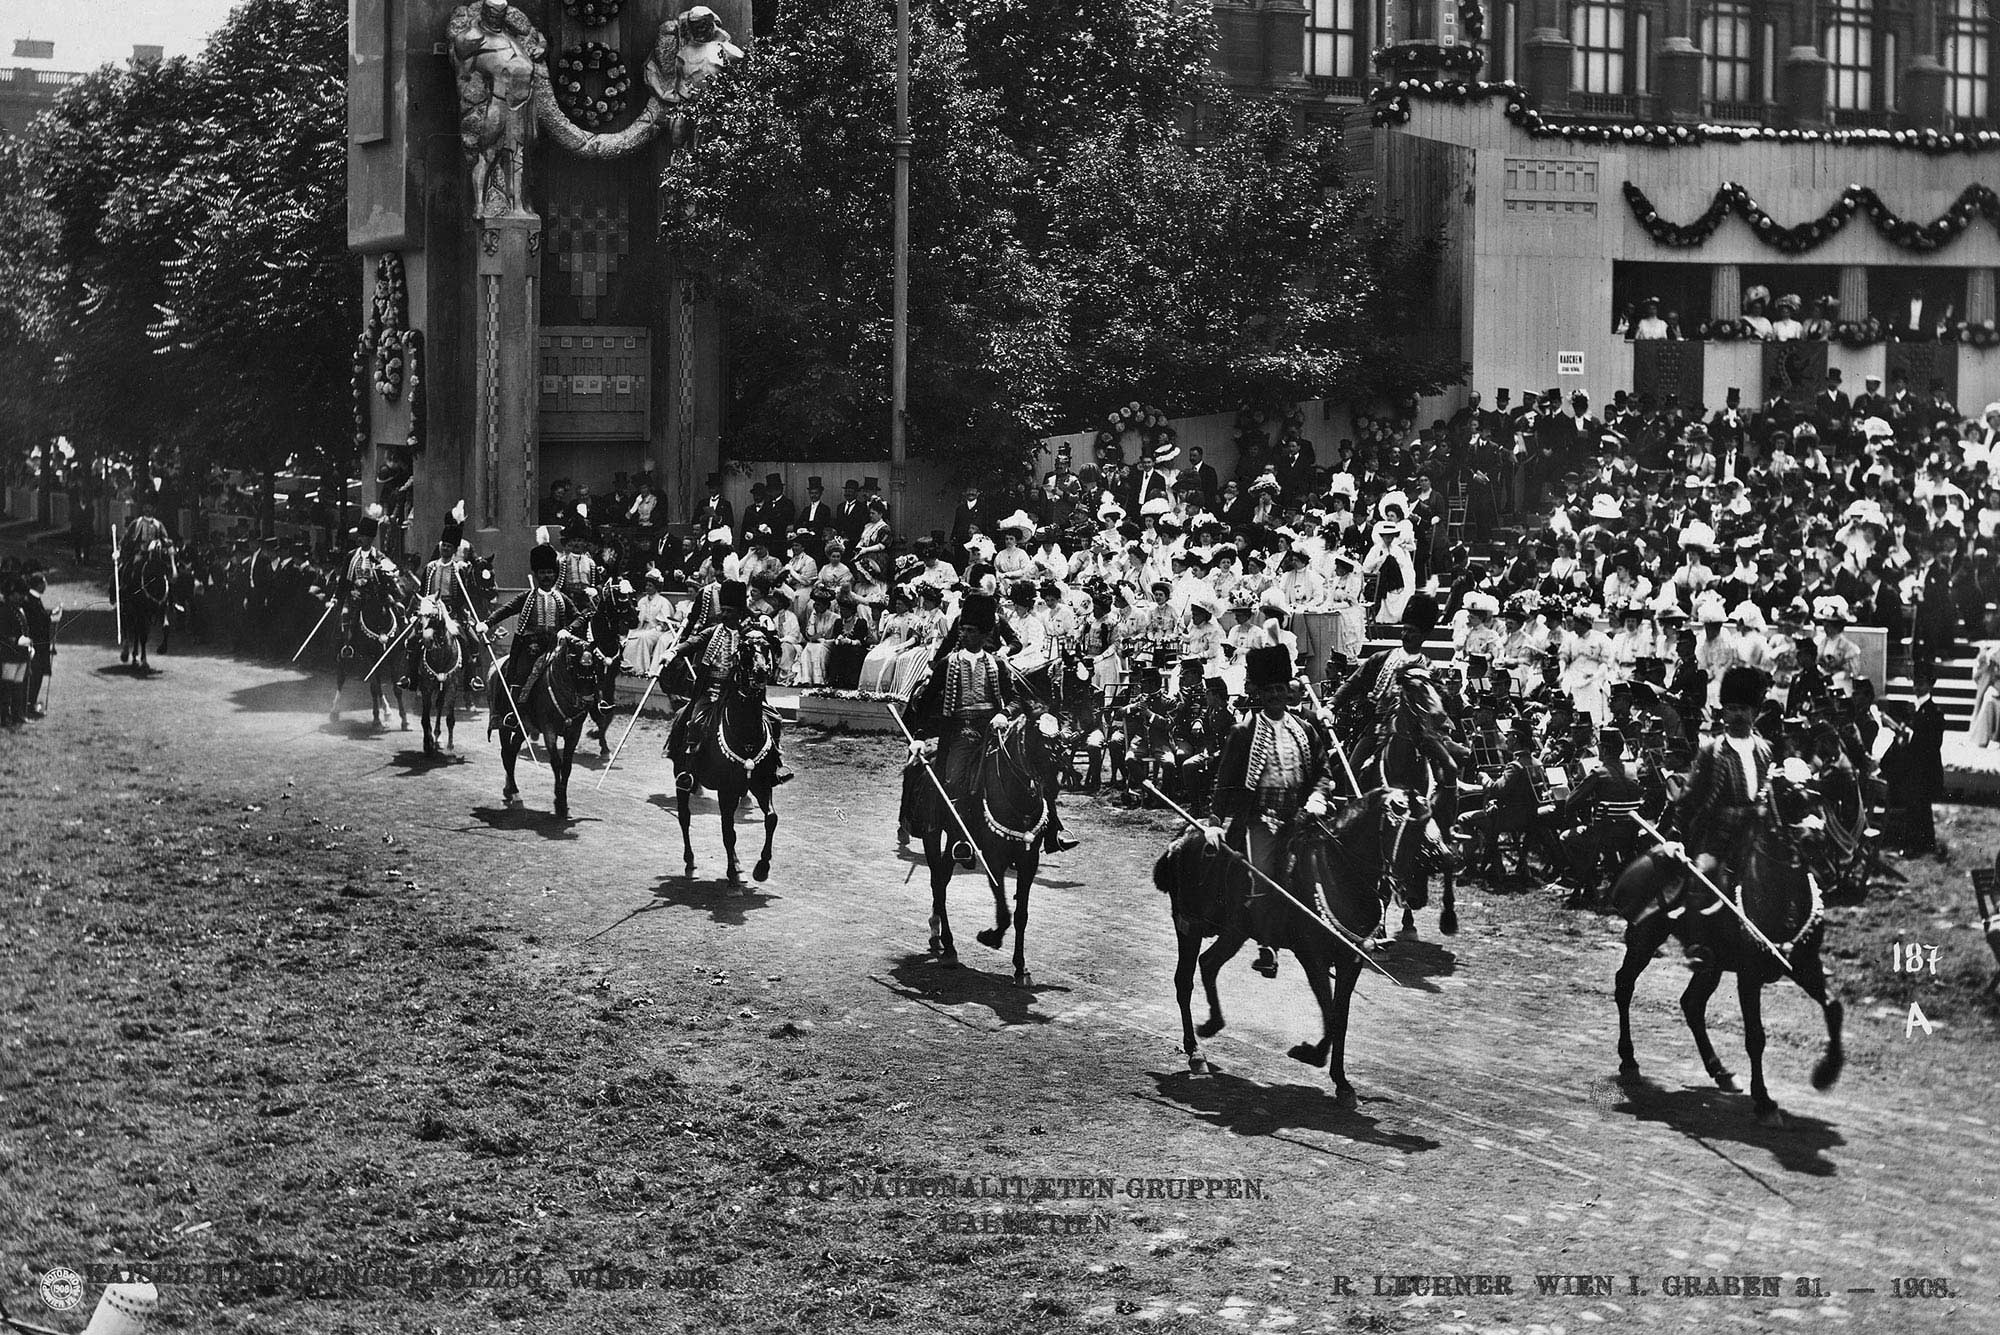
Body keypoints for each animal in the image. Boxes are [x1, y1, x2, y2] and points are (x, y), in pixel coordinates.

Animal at [494, 635, 592, 815]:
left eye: (594, 666)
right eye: (573, 663)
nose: (587, 701)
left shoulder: (574, 732)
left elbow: (567, 766)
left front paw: (563, 802)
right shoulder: (549, 731)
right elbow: (556, 763)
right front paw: (559, 802)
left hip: (523, 728)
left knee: (512, 753)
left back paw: (509, 790)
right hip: (503, 725)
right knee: (506, 754)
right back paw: (514, 792)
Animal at [680, 627, 788, 879]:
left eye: (766, 647)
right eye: (745, 648)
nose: (760, 672)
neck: (746, 734)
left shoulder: (761, 784)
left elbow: (771, 819)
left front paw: (762, 868)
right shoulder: (726, 790)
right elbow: (728, 831)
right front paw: (734, 871)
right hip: (682, 780)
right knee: (684, 818)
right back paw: (690, 862)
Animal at [908, 715, 1064, 987]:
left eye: (1060, 743)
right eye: (1037, 743)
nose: (1051, 788)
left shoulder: (1029, 860)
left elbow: (1021, 914)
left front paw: (1021, 968)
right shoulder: (994, 859)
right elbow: (1004, 912)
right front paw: (990, 936)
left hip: (954, 841)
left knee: (943, 879)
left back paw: (937, 933)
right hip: (931, 834)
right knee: (938, 883)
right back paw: (948, 946)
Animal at [1160, 787, 1456, 1111]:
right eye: (1411, 829)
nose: (1446, 859)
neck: (1340, 874)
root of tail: (1187, 833)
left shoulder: (1350, 961)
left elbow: (1340, 1017)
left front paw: (1341, 1082)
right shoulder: (1313, 958)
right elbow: (1330, 1013)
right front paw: (1311, 1055)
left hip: (1235, 932)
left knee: (1208, 963)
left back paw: (1213, 1024)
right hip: (1189, 925)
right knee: (1184, 980)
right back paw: (1195, 1052)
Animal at [1608, 791, 1840, 1127]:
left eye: (1817, 794)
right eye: (1786, 795)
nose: (1816, 840)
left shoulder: (1804, 964)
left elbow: (1834, 1008)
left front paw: (1825, 1073)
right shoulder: (1749, 976)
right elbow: (1756, 1037)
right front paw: (1764, 1102)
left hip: (1711, 966)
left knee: (1691, 1003)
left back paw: (1721, 1072)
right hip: (1645, 937)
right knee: (1625, 985)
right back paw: (1629, 1060)